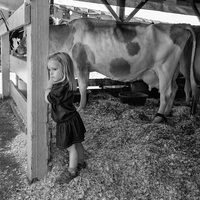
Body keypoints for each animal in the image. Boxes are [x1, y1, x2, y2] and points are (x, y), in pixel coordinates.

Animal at [14, 18, 199, 122]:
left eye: (25, 36)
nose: (16, 49)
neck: (67, 36)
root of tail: (178, 26)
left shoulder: (81, 64)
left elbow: (82, 86)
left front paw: (81, 108)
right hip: (173, 69)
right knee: (174, 89)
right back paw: (167, 113)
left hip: (165, 68)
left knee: (166, 93)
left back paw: (158, 118)